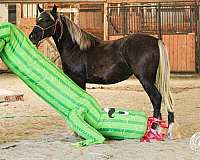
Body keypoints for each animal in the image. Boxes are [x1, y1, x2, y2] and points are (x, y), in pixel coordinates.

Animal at [29, 4, 175, 138]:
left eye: (47, 20)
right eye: (37, 19)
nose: (32, 37)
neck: (75, 48)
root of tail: (156, 41)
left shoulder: (79, 80)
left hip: (146, 80)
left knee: (156, 99)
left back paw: (153, 130)